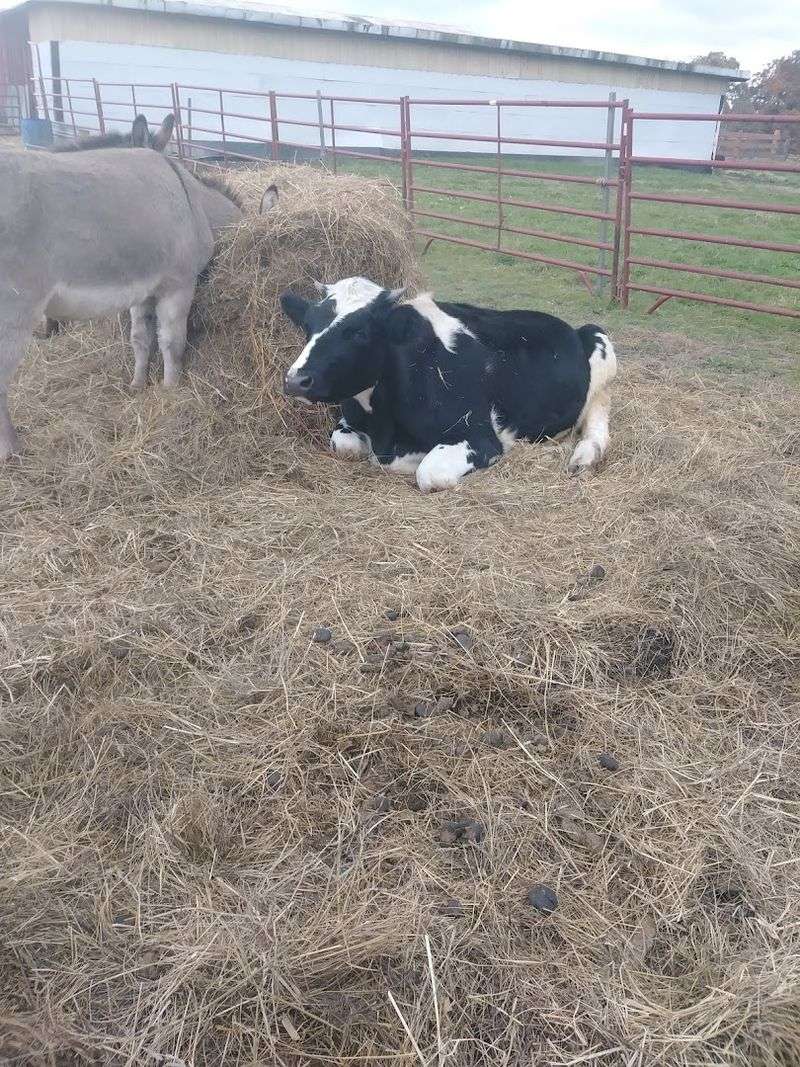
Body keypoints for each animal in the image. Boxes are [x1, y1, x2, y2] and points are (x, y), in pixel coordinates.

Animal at [280, 277, 617, 493]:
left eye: (360, 332)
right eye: (307, 326)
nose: (296, 380)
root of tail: (567, 325)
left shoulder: (481, 439)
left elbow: (429, 473)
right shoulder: (351, 424)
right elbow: (344, 445)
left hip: (601, 348)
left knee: (597, 423)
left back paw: (583, 457)